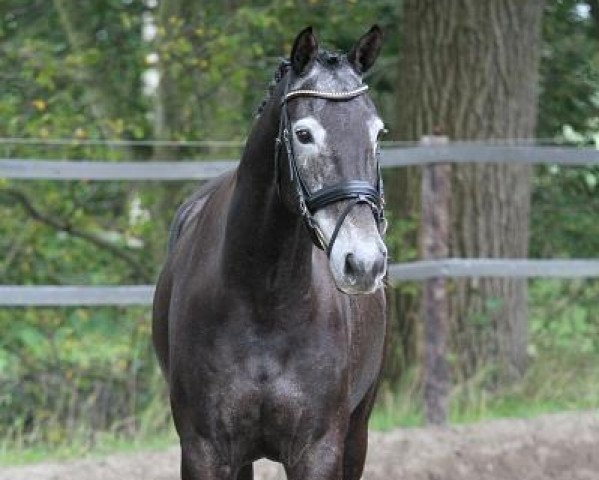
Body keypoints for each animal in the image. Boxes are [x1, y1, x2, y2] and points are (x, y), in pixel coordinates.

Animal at [152, 26, 390, 480]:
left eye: (377, 133)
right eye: (304, 134)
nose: (364, 262)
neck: (266, 300)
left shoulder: (319, 451)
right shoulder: (204, 450)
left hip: (358, 434)